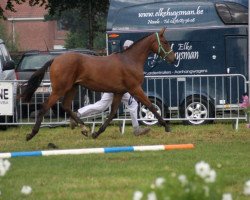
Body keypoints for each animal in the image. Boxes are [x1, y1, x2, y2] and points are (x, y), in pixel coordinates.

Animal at [20, 27, 176, 141]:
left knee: (66, 106)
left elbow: (112, 113)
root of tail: (55, 60)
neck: (130, 60)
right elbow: (151, 106)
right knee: (45, 107)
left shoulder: (119, 92)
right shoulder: (135, 88)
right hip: (59, 89)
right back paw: (31, 134)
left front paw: (97, 133)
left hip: (72, 88)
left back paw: (84, 128)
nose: (173, 58)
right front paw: (166, 126)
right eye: (165, 42)